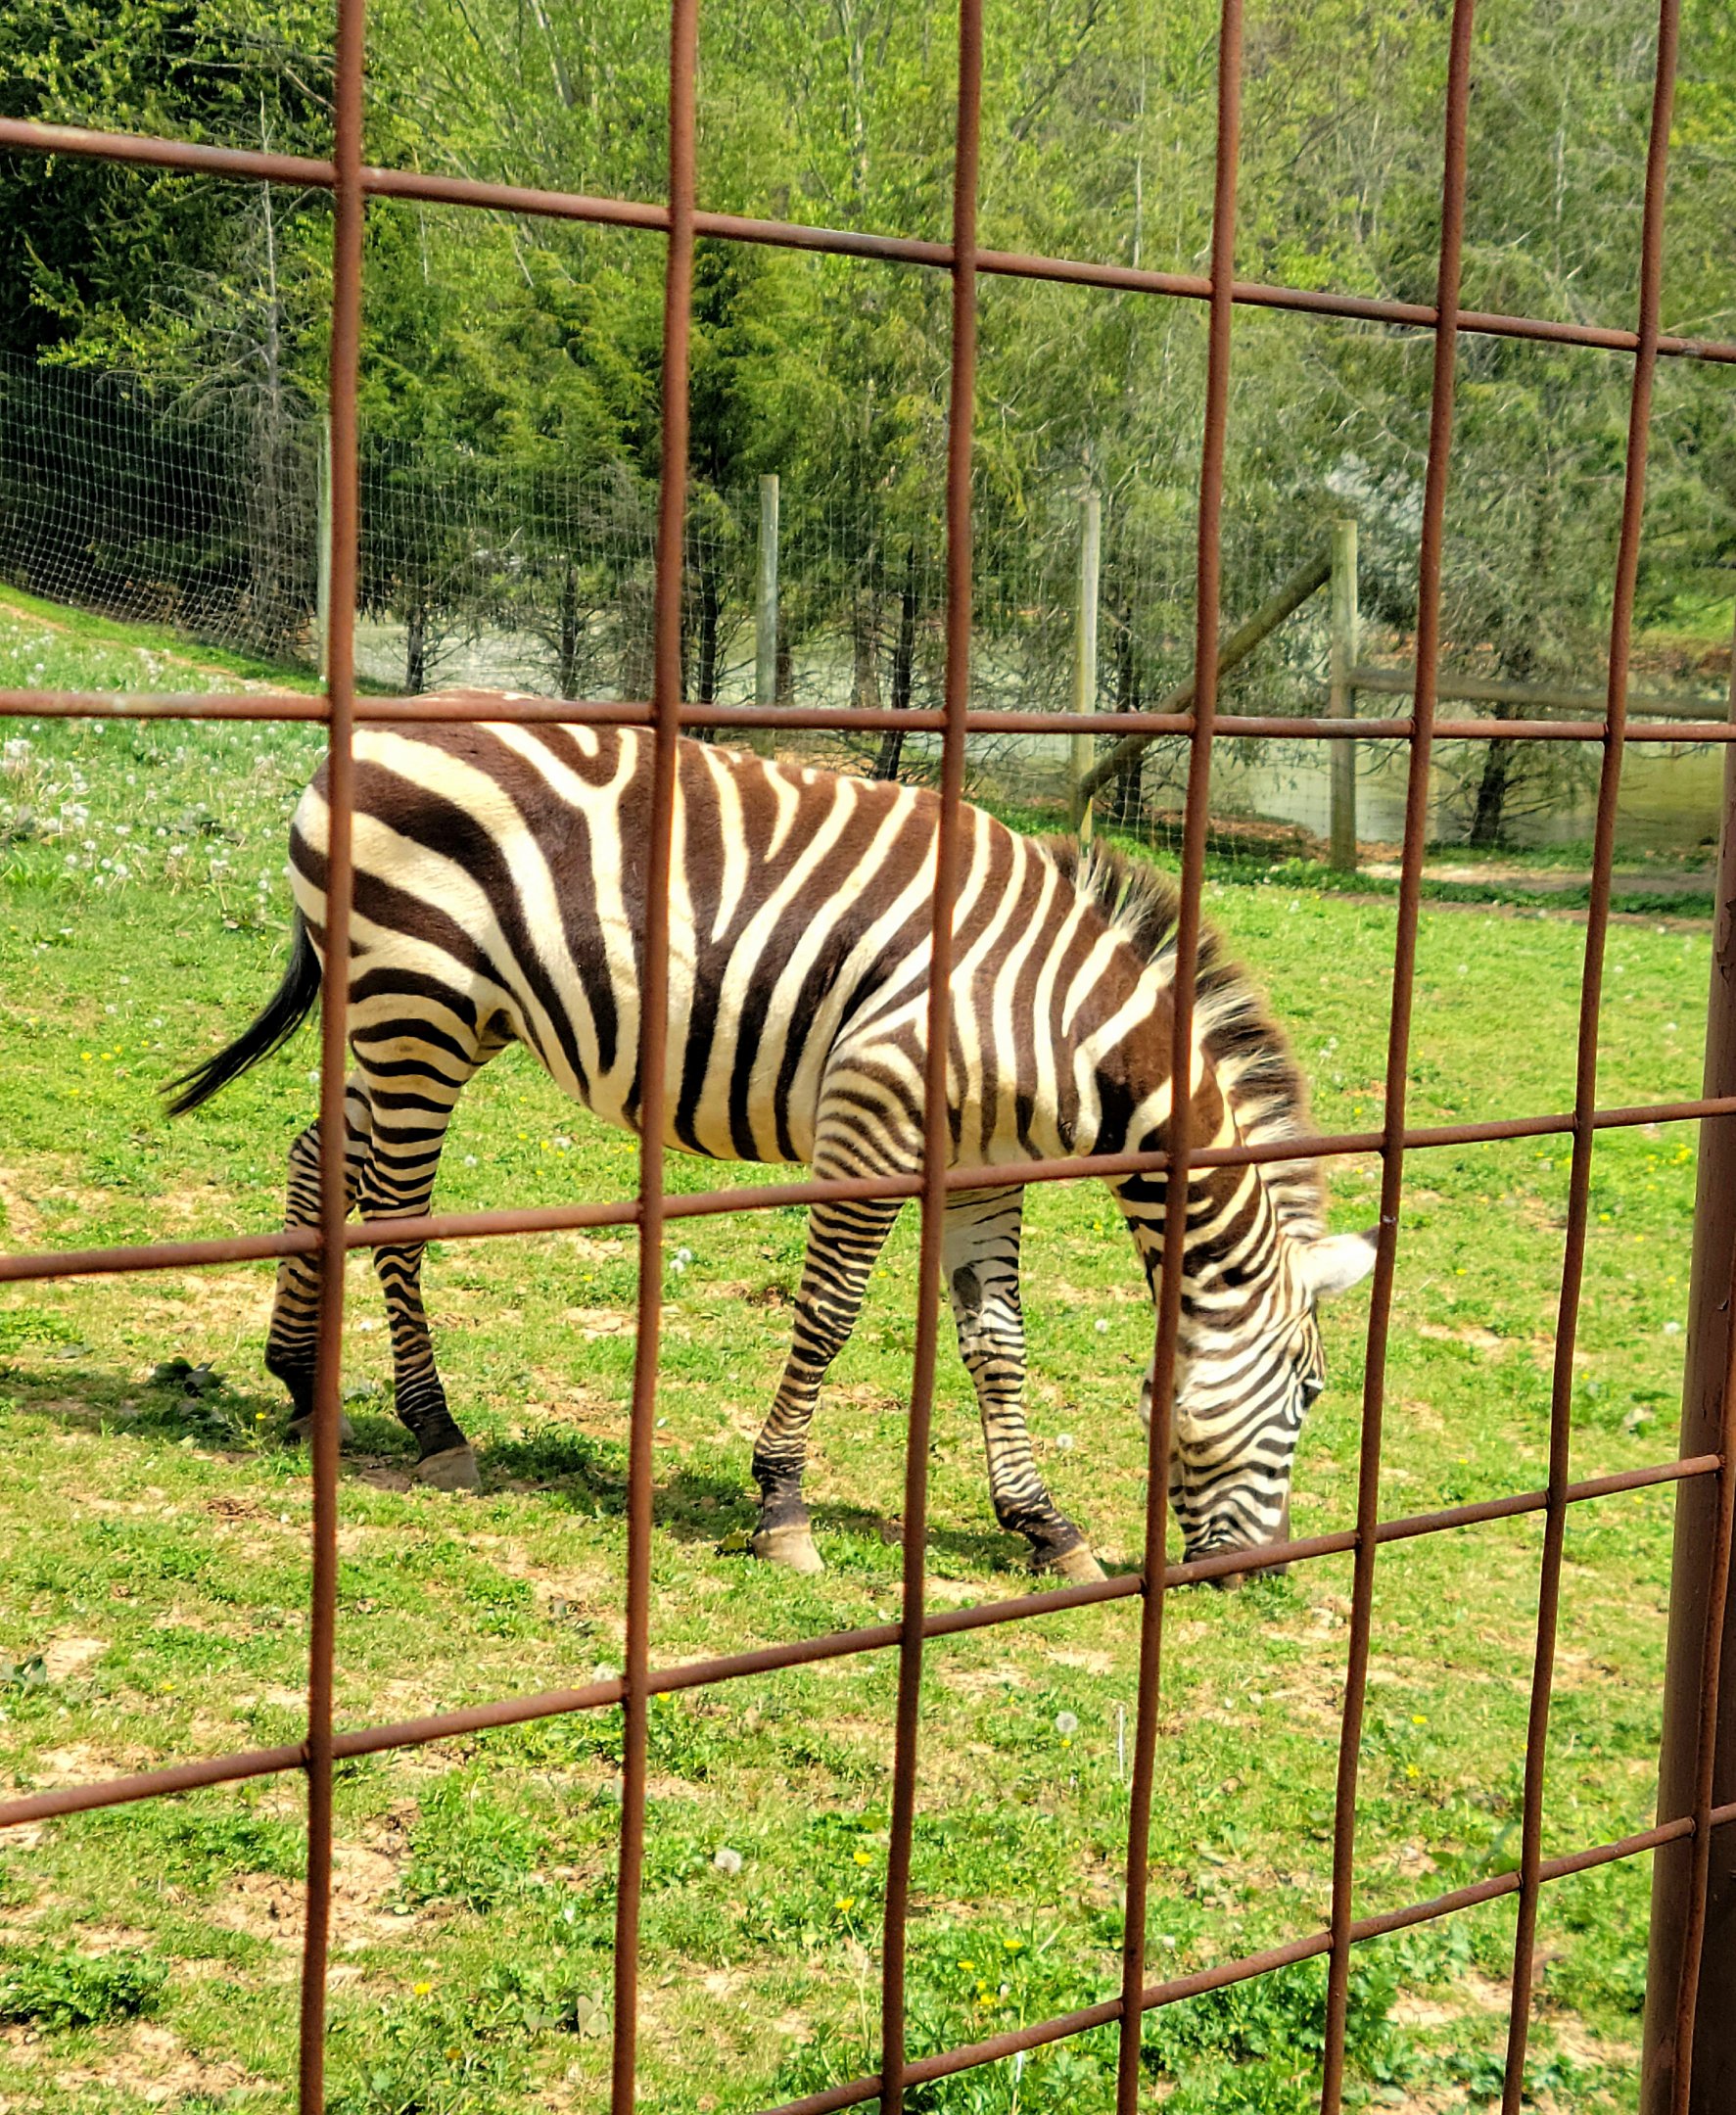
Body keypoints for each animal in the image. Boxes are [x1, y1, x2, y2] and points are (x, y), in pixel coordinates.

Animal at [167, 712, 1376, 1581]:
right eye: (1312, 1397)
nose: (1265, 1574)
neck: (1069, 1027)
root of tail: (363, 734)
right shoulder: (877, 1115)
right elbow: (831, 1317)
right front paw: (783, 1507)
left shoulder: (985, 1167)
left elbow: (997, 1343)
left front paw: (1043, 1526)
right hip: (421, 1007)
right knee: (395, 1207)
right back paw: (433, 1428)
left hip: (411, 1018)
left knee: (317, 1155)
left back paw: (300, 1380)